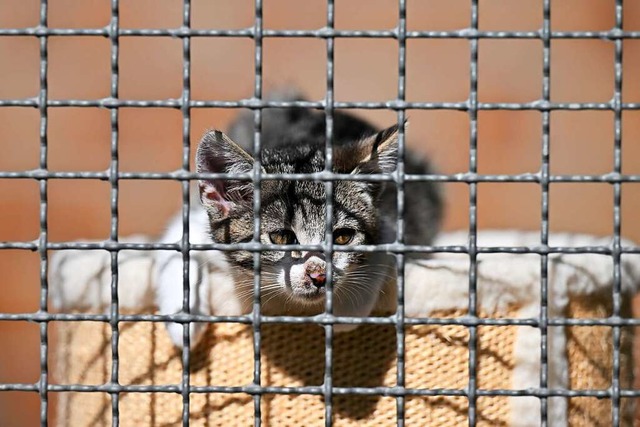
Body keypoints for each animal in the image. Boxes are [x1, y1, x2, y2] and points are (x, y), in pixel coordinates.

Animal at [156, 93, 444, 348]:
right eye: (281, 237)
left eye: (343, 237)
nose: (319, 276)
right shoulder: (194, 225)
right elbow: (176, 252)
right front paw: (185, 321)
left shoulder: (397, 220)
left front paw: (346, 312)